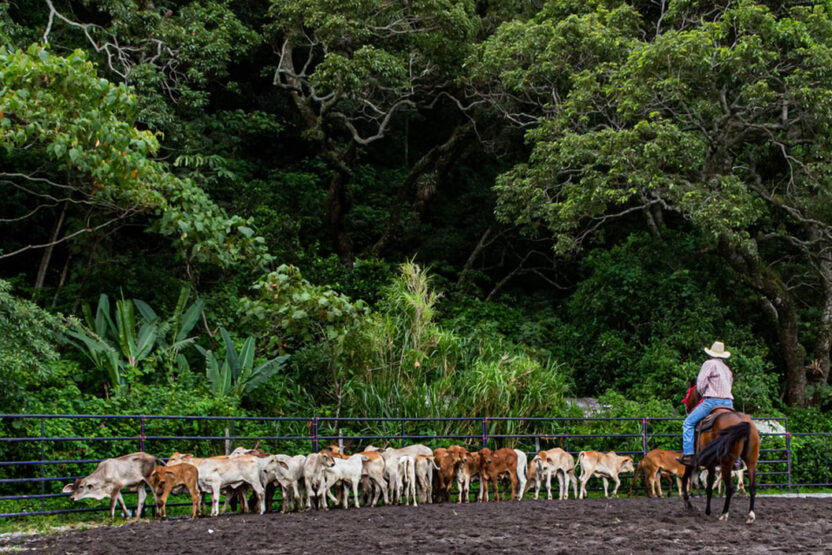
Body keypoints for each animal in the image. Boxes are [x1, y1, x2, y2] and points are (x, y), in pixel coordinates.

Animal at [684, 384, 760, 524]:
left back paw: (724, 514)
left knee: (729, 487)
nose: (686, 408)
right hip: (751, 461)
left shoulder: (706, 463)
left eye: (688, 393)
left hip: (726, 463)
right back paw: (750, 515)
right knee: (752, 487)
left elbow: (704, 485)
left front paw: (703, 509)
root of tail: (744, 422)